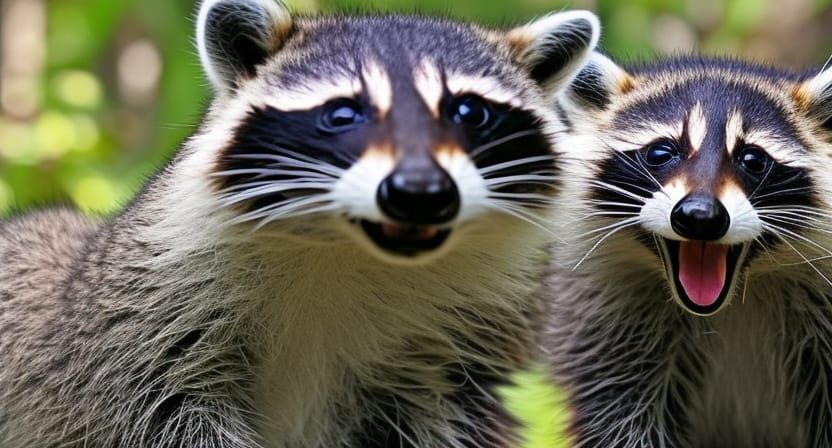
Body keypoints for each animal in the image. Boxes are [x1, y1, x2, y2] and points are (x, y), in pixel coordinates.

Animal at [0, 1, 600, 447]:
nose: (420, 194)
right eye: (344, 113)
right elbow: (152, 407)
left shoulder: (465, 344)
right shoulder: (144, 315)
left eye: (468, 112)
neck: (349, 247)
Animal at [542, 53, 832, 447]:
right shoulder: (604, 316)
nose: (700, 216)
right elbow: (617, 414)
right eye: (660, 152)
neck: (736, 295)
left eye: (753, 160)